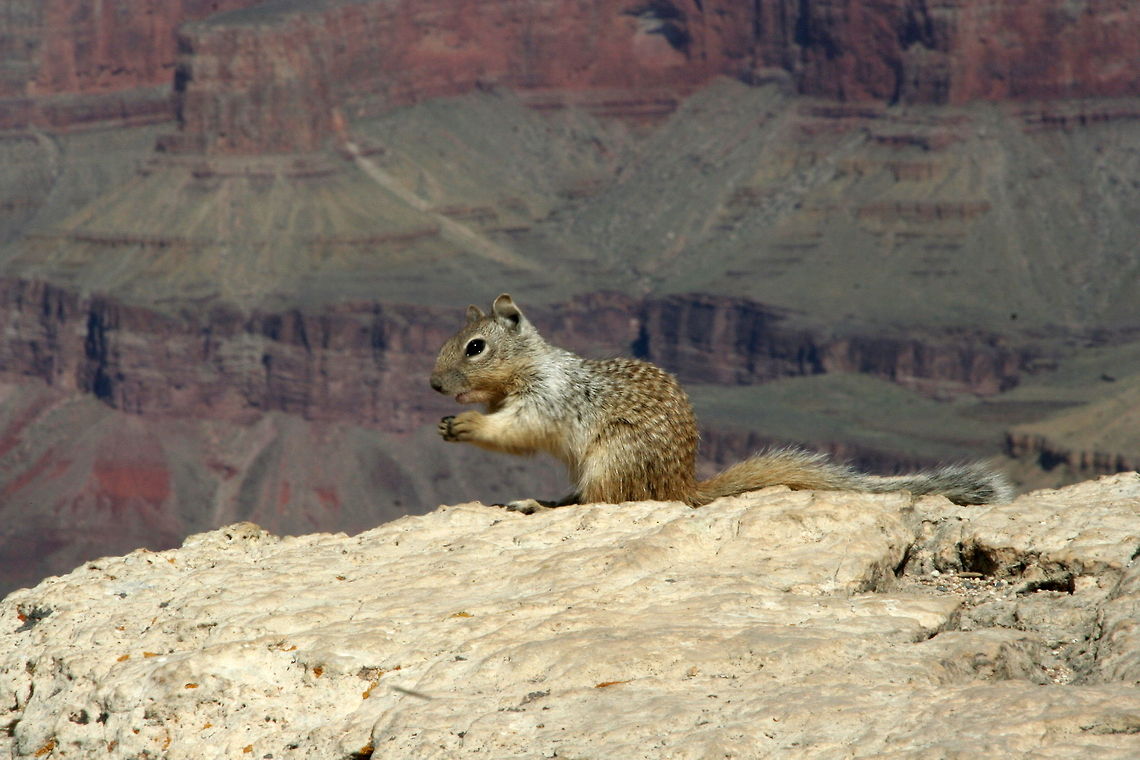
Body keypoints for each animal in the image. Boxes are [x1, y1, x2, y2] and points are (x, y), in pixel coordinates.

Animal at [430, 294, 1012, 512]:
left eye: (475, 346)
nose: (434, 386)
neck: (527, 366)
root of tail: (681, 487)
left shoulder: (546, 399)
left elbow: (516, 430)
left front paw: (464, 425)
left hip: (612, 460)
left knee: (603, 503)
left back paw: (538, 504)